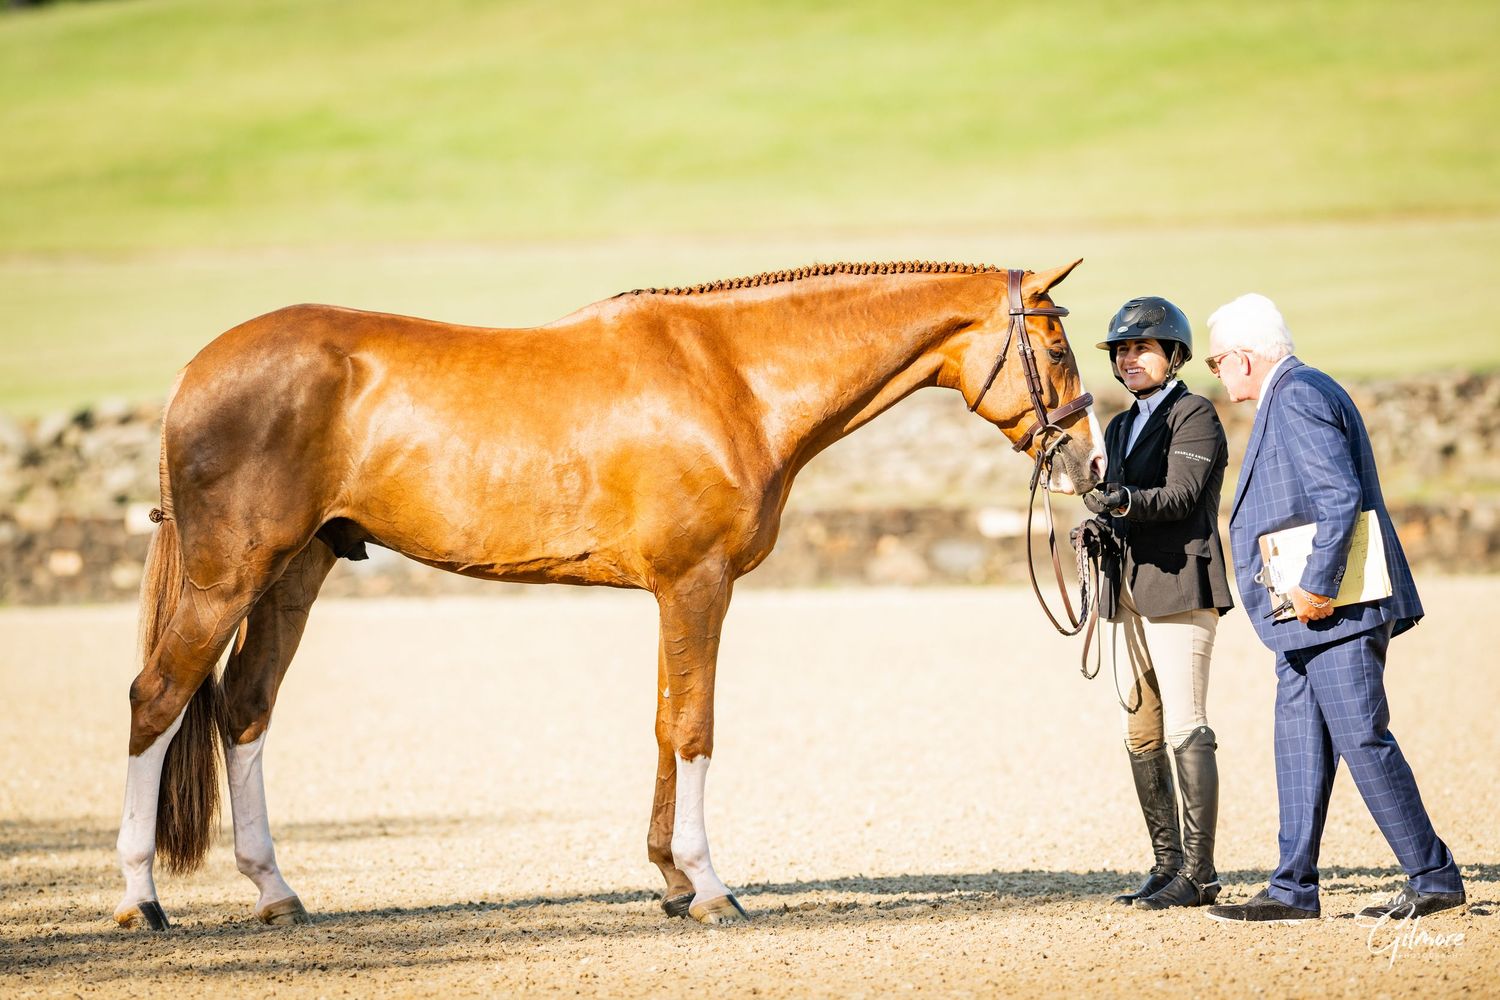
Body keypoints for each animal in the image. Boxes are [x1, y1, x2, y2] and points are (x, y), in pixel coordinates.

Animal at [114, 258, 1105, 931]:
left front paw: (670, 880)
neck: (731, 377)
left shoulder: (674, 593)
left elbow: (666, 723)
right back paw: (141, 901)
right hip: (230, 573)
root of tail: (196, 372)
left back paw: (275, 891)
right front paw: (710, 887)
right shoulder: (698, 584)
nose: (1090, 463)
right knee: (157, 698)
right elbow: (696, 726)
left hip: (297, 571)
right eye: (1055, 343)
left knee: (244, 708)